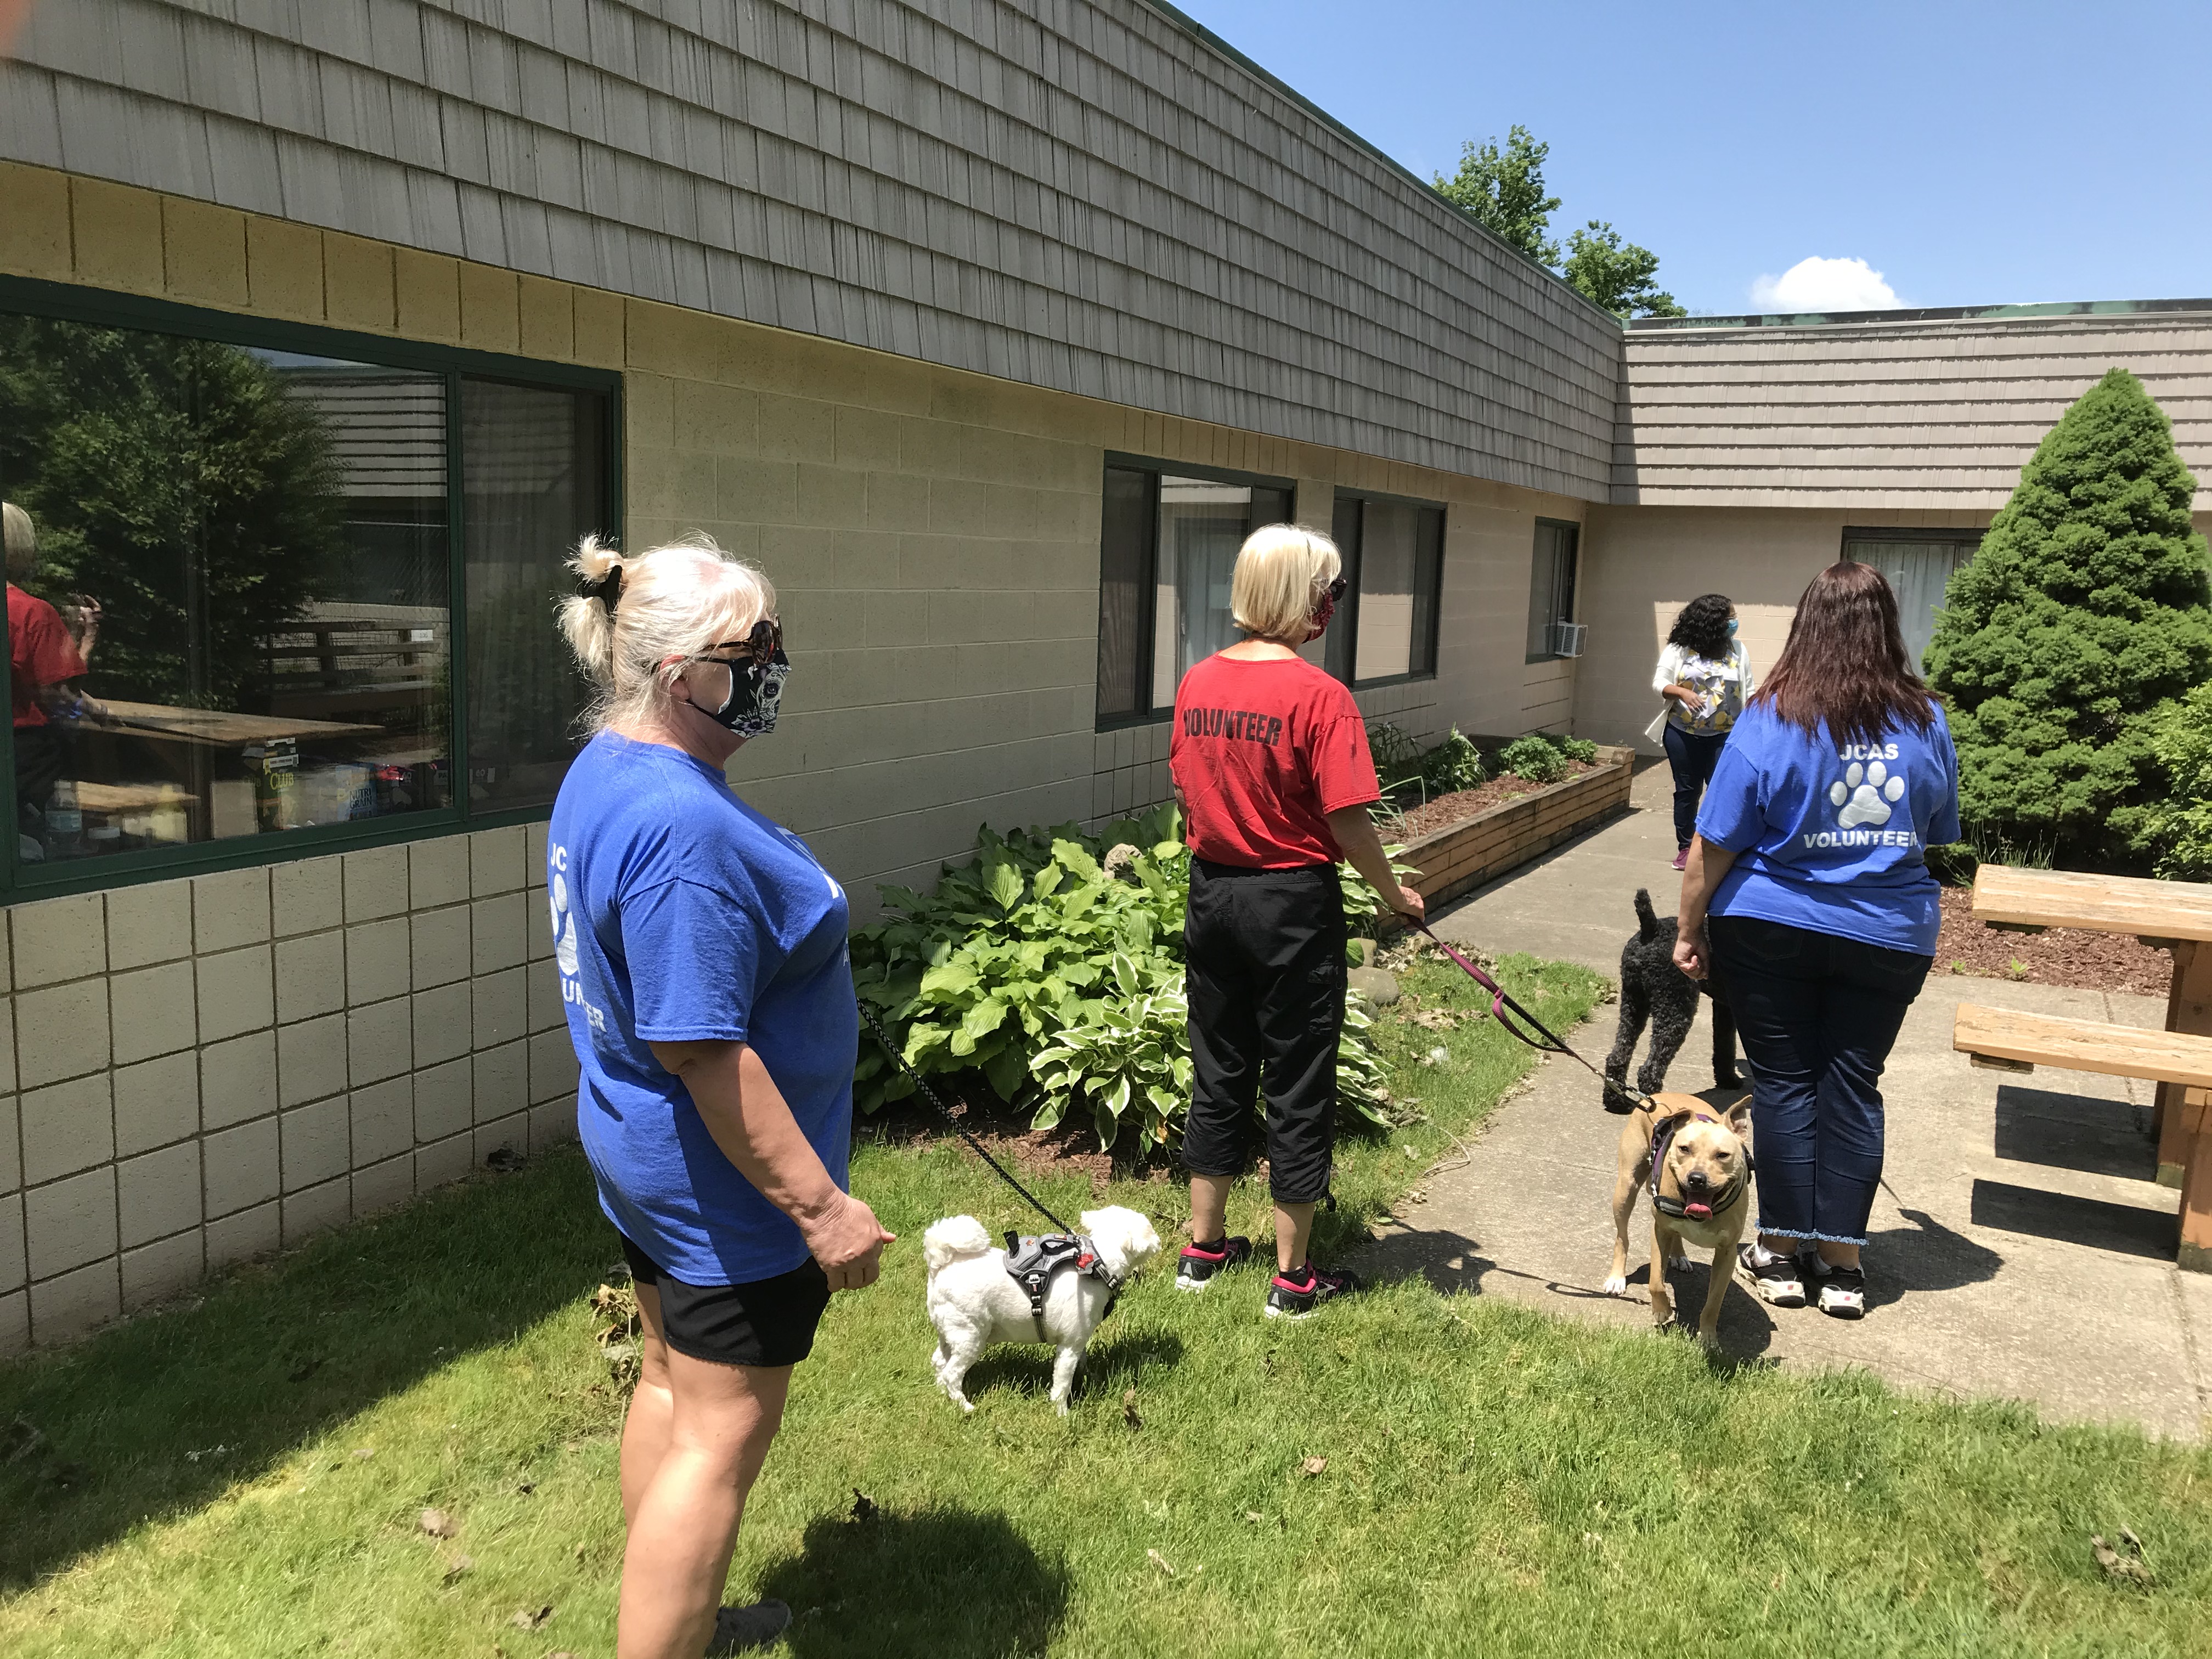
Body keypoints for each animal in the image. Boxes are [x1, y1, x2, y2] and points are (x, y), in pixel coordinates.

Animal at [920, 1212, 1167, 1415]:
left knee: (939, 1363)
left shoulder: (1079, 1339)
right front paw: (1063, 1414)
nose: (1159, 1240)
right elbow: (1062, 1383)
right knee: (951, 1374)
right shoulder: (1069, 1346)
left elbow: (1083, 1361)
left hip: (950, 1332)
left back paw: (944, 1396)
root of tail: (941, 1264)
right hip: (971, 1336)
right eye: (1150, 1229)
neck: (1098, 1266)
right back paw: (965, 1406)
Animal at [1601, 1092, 1752, 1353]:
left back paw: (1679, 1255)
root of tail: (1655, 1097)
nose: (1697, 1179)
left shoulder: (1727, 1253)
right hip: (1626, 1189)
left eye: (1722, 1155)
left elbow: (1714, 1302)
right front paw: (1662, 1310)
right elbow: (1655, 1282)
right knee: (1622, 1237)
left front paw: (1708, 1336)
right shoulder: (1660, 1231)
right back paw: (1617, 1278)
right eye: (1684, 1149)